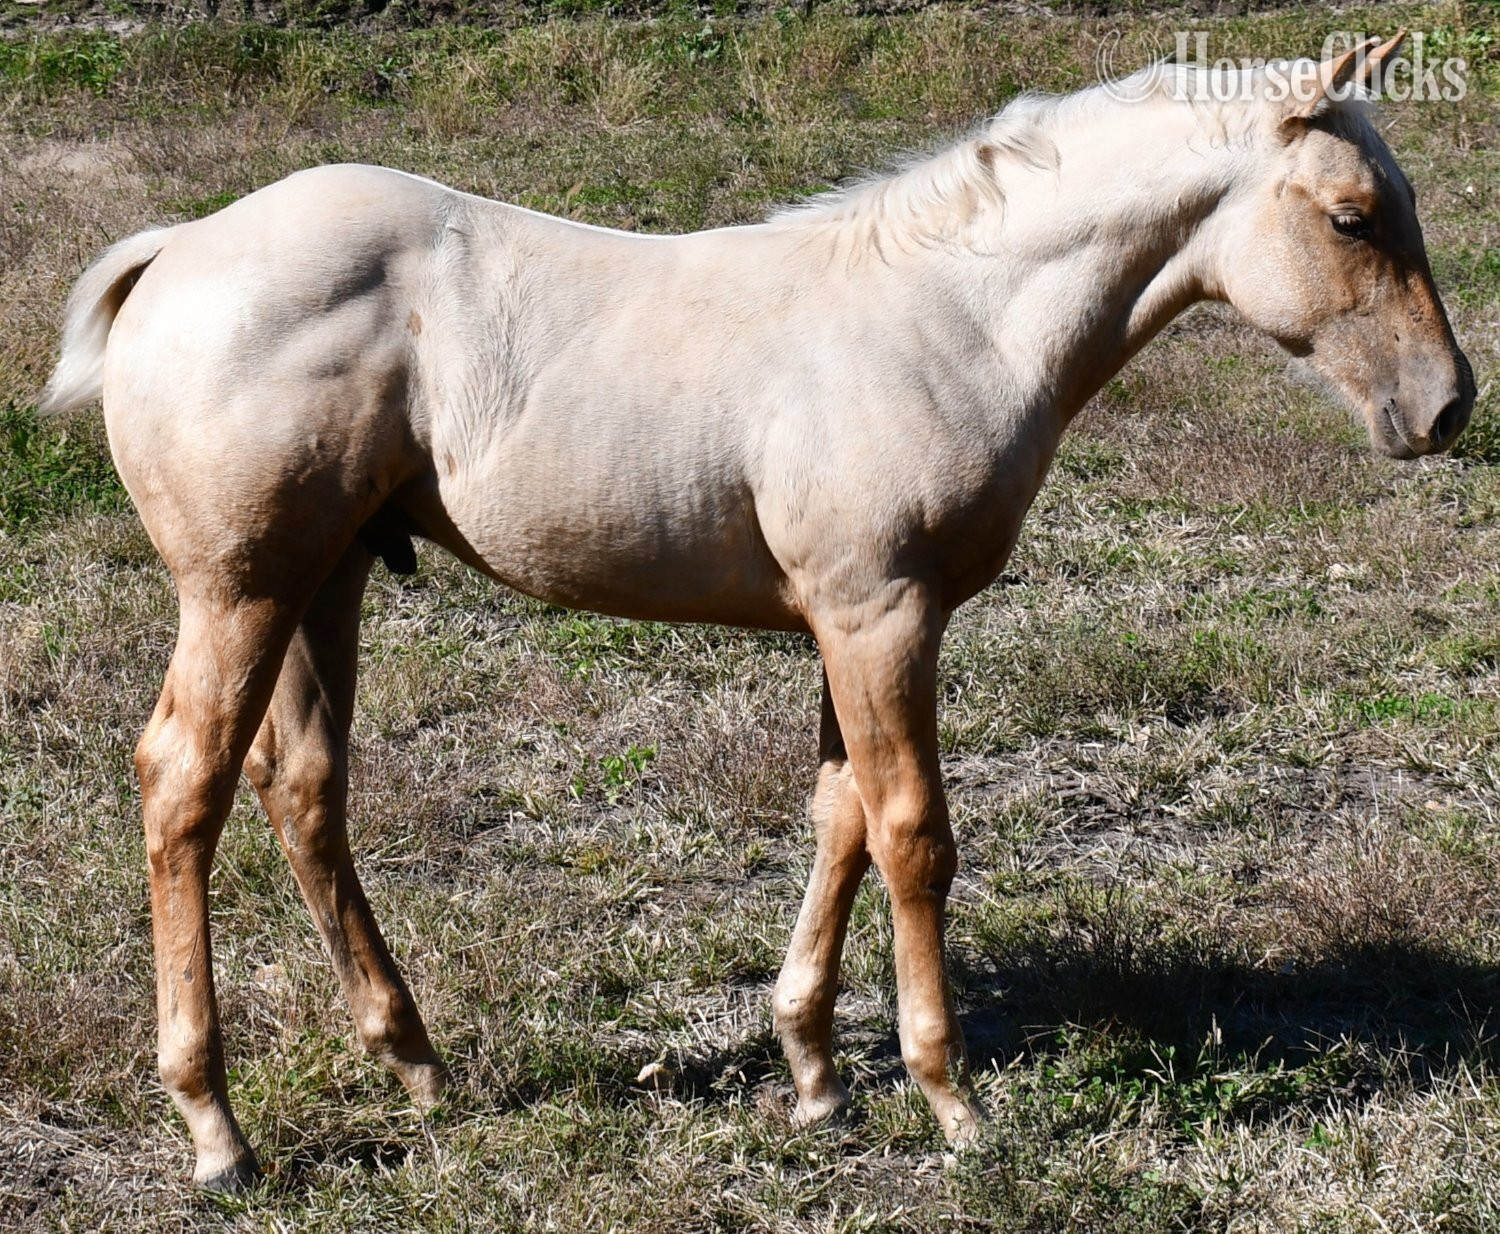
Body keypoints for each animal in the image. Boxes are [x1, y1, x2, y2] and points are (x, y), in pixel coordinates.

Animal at [41, 32, 1474, 1189]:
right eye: (1354, 217)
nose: (1448, 407)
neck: (954, 317)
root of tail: (178, 248)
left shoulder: (853, 624)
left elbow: (839, 816)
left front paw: (816, 1076)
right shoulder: (881, 613)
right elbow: (912, 835)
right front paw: (951, 1101)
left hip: (321, 581)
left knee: (302, 789)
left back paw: (417, 1064)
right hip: (238, 591)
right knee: (183, 784)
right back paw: (216, 1132)